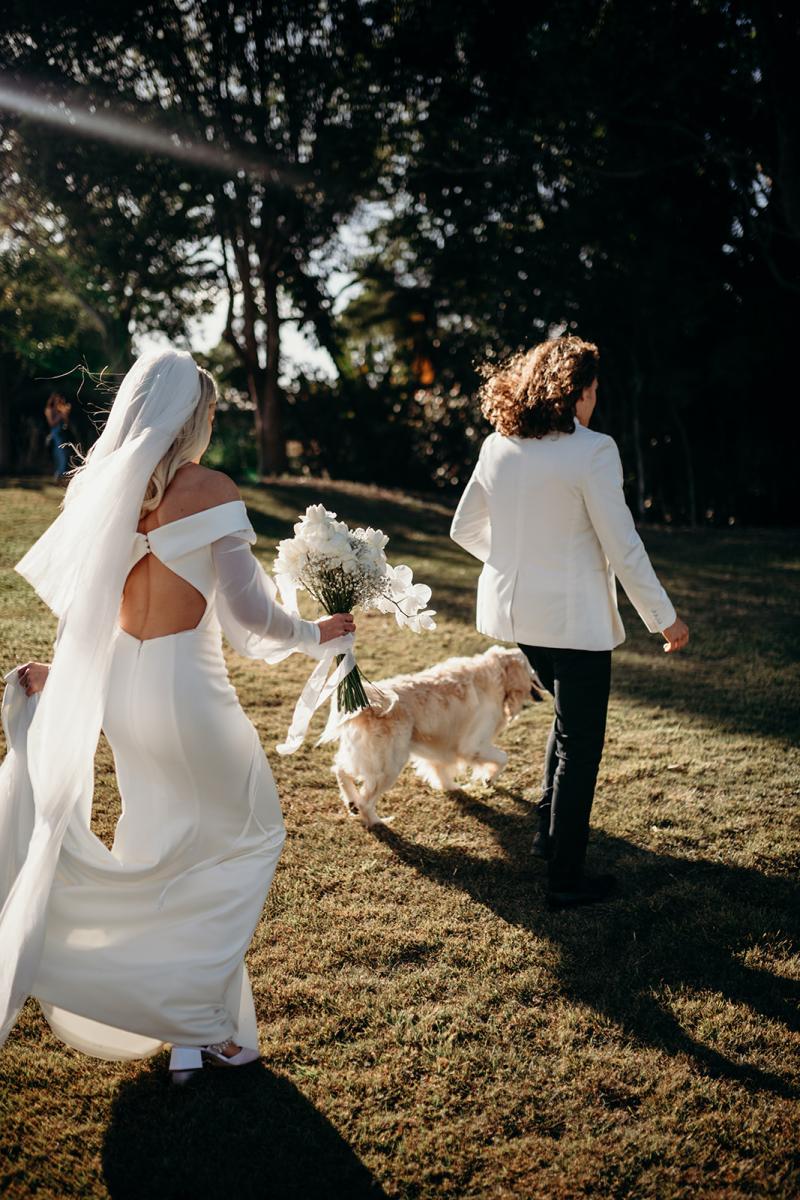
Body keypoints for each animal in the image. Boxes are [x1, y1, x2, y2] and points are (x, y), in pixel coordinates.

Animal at [328, 643, 542, 830]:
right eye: (533, 666)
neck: (498, 674)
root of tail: (368, 705)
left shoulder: (441, 745)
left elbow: (441, 768)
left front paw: (452, 787)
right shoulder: (473, 745)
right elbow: (503, 757)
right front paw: (488, 779)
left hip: (364, 756)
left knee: (340, 770)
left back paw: (352, 802)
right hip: (389, 766)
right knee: (366, 800)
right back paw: (378, 821)